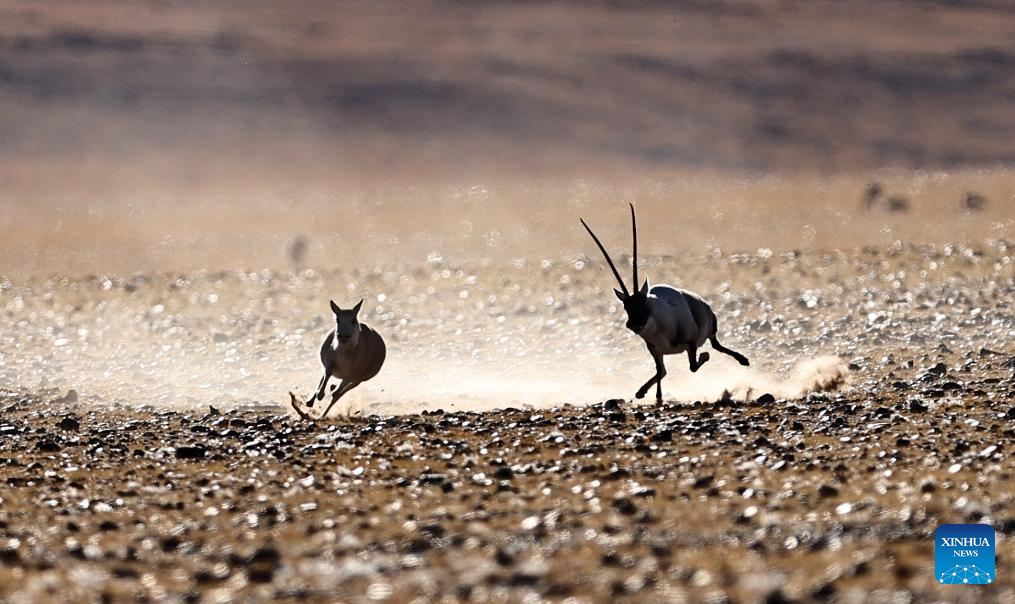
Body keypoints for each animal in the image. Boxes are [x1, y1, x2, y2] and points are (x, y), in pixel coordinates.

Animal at [580, 204, 750, 402]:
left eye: (643, 302)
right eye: (626, 306)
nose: (634, 324)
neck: (660, 321)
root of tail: (704, 305)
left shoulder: (691, 343)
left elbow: (693, 366)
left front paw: (705, 355)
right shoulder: (655, 349)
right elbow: (660, 371)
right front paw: (648, 394)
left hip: (709, 330)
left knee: (716, 345)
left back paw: (743, 360)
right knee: (665, 370)